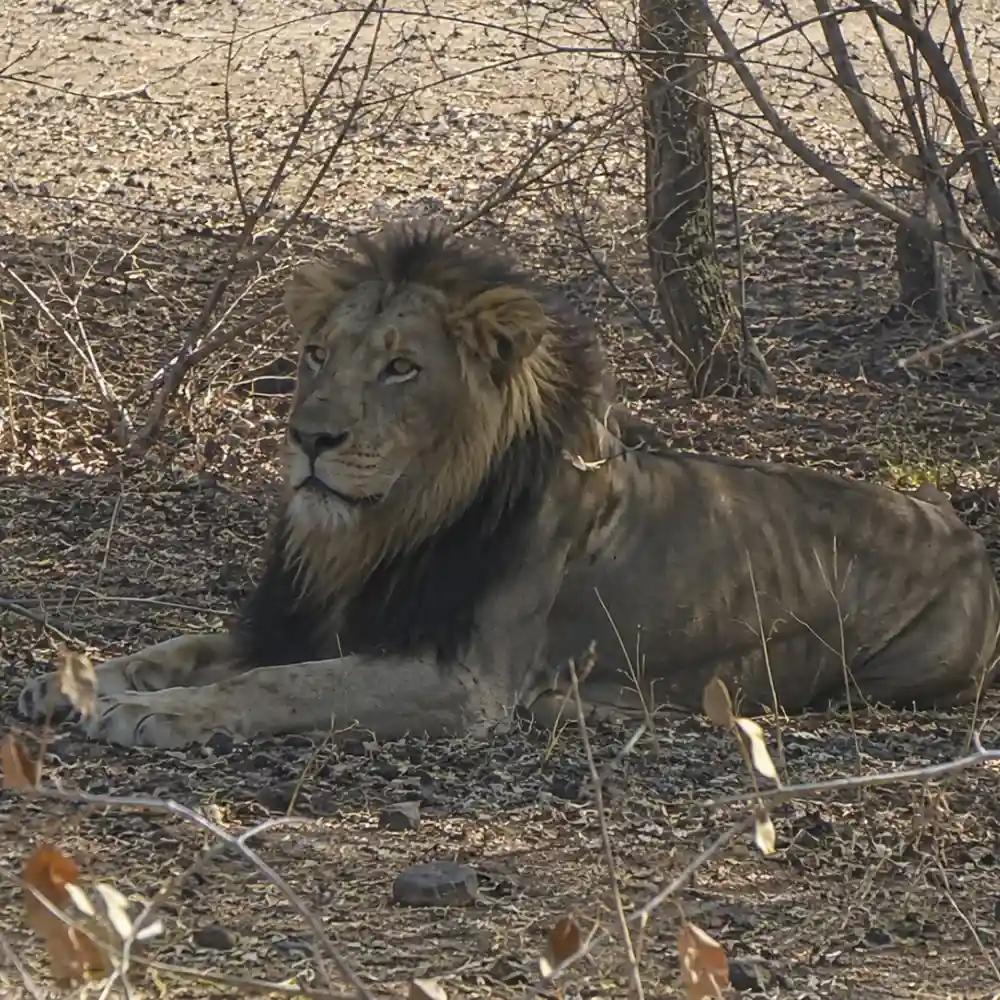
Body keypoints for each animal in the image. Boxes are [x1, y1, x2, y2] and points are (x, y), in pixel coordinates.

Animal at [18, 222, 1000, 748]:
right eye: (316, 354)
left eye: (402, 367)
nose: (308, 438)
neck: (382, 532)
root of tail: (956, 523)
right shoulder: (304, 620)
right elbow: (178, 647)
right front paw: (74, 682)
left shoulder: (462, 680)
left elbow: (279, 688)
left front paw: (152, 714)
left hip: (896, 675)